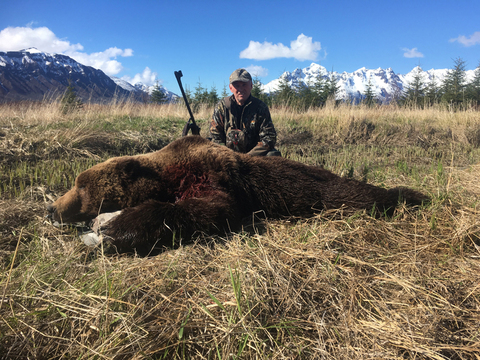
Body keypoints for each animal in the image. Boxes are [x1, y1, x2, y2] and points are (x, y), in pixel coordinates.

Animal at [47, 135, 430, 253]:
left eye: (81, 185)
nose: (51, 208)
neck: (166, 175)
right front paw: (102, 223)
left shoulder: (211, 175)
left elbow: (212, 208)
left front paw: (111, 229)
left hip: (331, 191)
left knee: (358, 195)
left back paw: (412, 196)